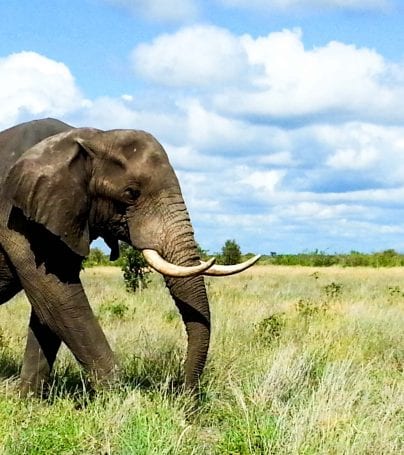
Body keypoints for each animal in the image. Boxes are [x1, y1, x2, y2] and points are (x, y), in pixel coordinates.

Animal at [0, 119, 258, 398]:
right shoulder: (14, 216)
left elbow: (49, 305)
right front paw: (117, 398)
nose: (186, 397)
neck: (90, 137)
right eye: (131, 193)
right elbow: (58, 298)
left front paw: (28, 399)